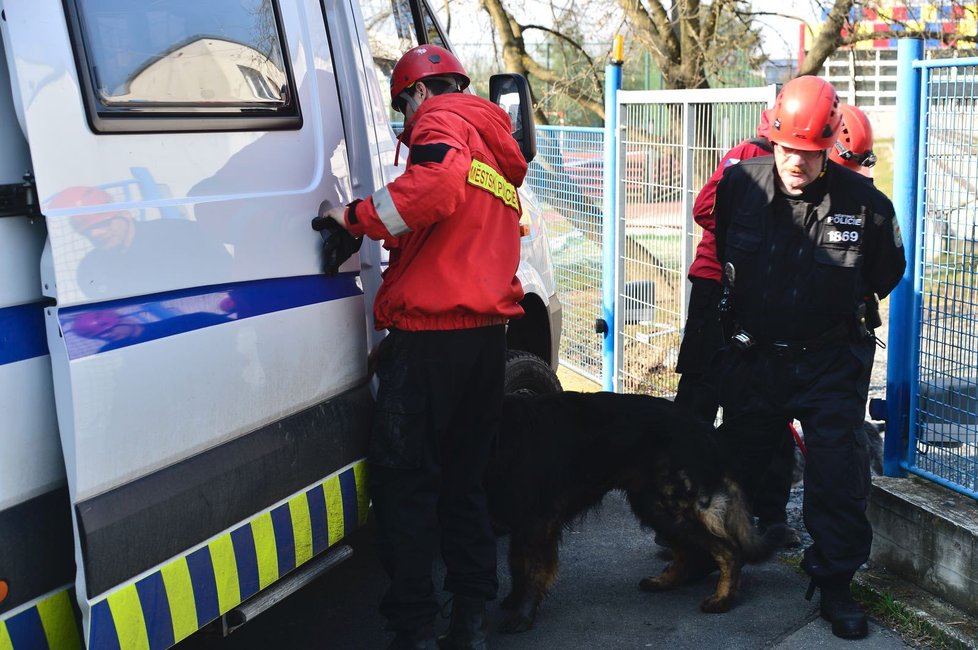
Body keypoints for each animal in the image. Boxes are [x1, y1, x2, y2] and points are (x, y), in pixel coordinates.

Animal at [486, 388, 784, 632]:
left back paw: (722, 600)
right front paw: (512, 600)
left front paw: (523, 616)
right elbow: (516, 563)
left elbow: (533, 570)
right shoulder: (520, 523)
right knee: (688, 551)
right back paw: (665, 583)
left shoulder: (538, 521)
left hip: (672, 506)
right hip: (654, 506)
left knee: (729, 550)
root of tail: (707, 433)